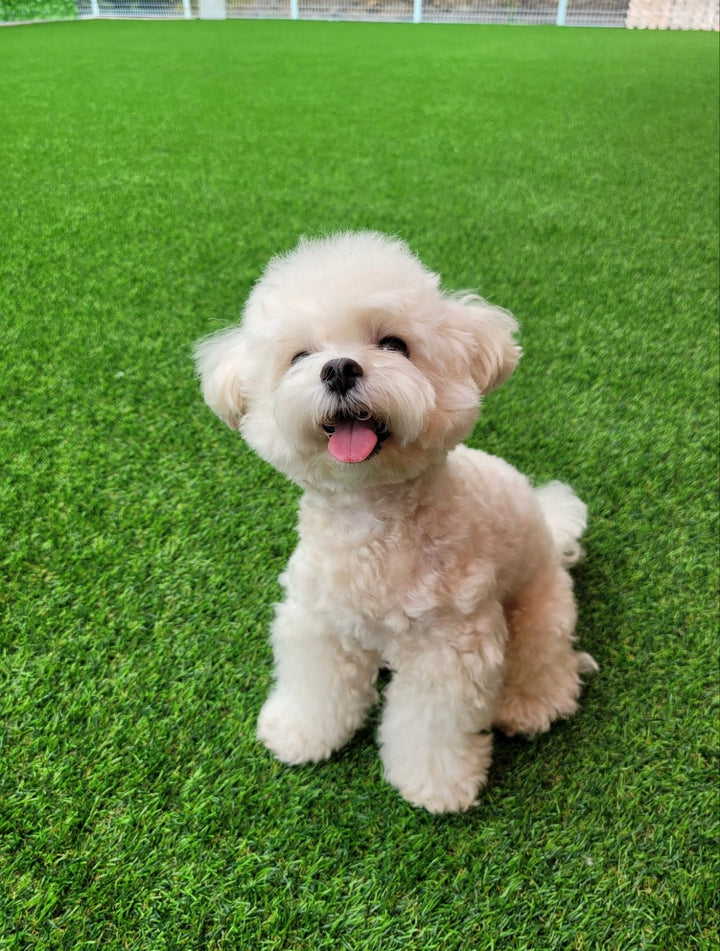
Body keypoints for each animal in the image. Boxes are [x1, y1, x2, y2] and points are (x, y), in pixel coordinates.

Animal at [195, 234, 596, 816]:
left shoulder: (448, 650)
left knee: (544, 661)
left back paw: (529, 704)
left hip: (541, 610)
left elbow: (431, 725)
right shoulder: (318, 622)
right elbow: (315, 685)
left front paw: (436, 784)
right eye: (301, 356)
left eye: (394, 344)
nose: (339, 369)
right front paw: (300, 732)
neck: (371, 522)